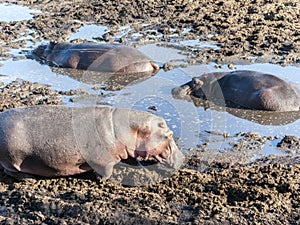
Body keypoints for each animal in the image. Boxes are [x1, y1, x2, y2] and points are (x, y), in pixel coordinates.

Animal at [0, 104, 184, 180]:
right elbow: (107, 171)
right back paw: (29, 179)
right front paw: (101, 180)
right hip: (13, 158)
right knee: (12, 171)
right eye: (169, 135)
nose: (182, 159)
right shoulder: (104, 160)